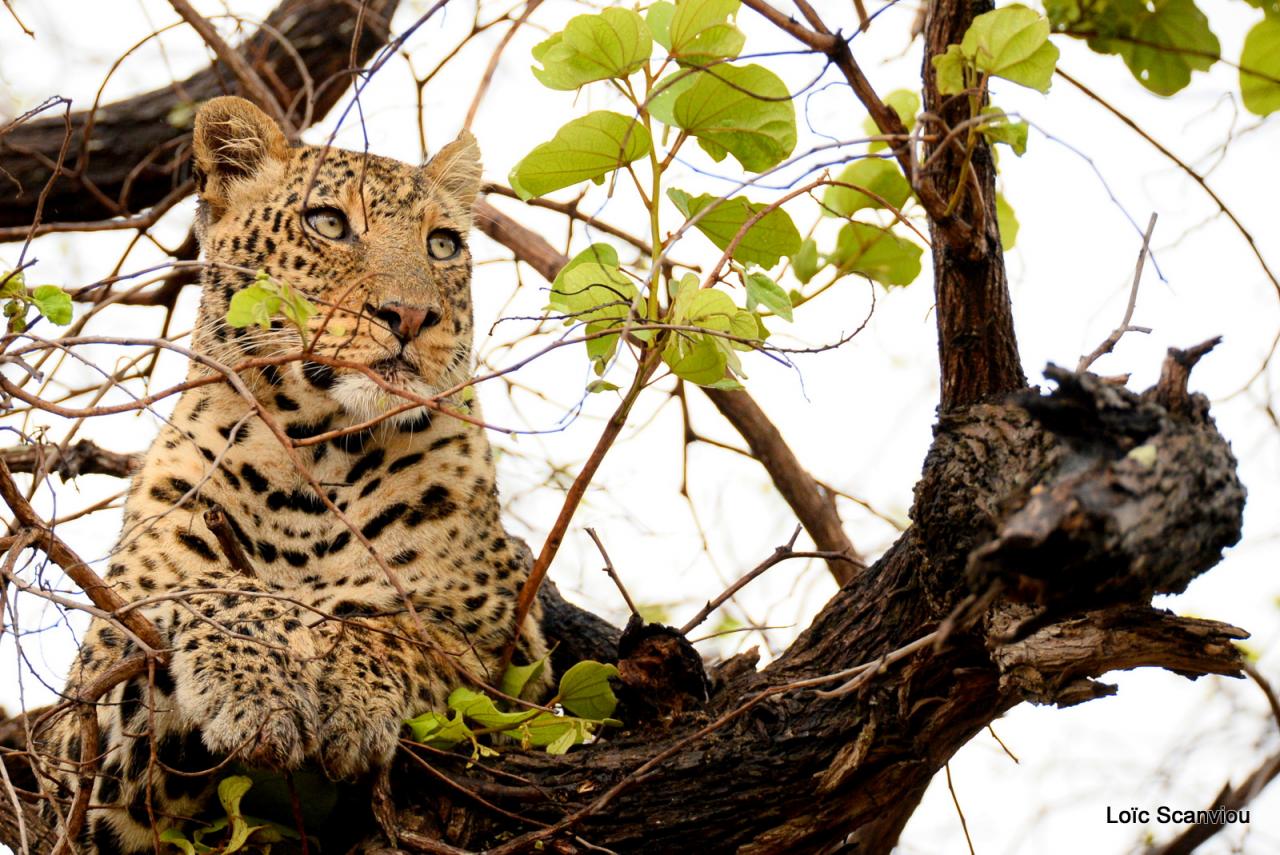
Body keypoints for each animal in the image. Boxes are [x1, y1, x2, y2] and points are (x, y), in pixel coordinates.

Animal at [38, 95, 550, 855]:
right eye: (329, 223)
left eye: (442, 245)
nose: (411, 315)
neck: (312, 463)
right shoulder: (83, 739)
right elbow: (209, 590)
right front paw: (257, 679)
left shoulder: (512, 649)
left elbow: (410, 632)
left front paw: (352, 690)